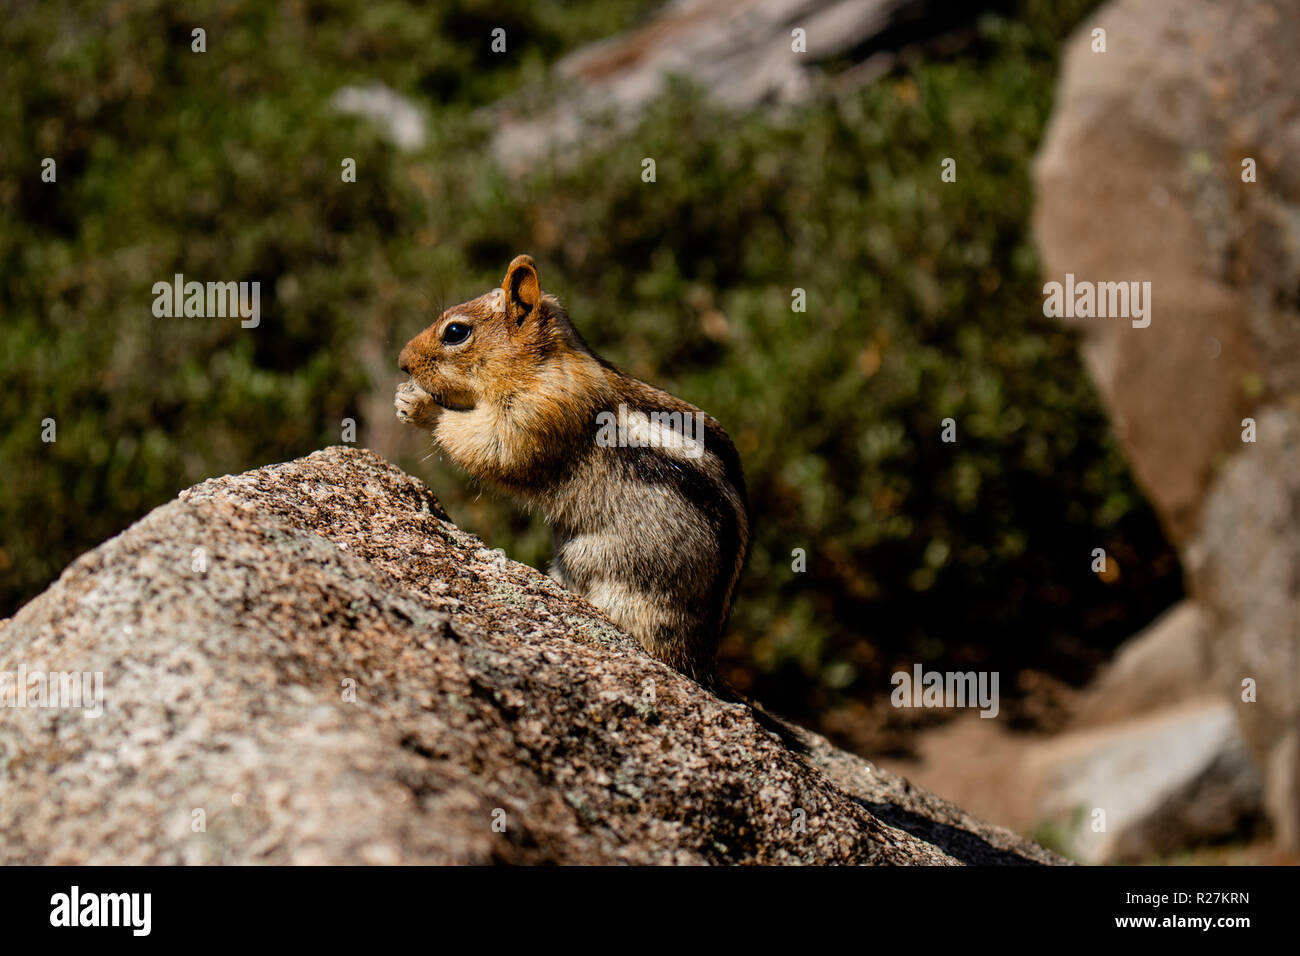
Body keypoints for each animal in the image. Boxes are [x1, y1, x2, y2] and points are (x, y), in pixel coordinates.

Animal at [395, 255, 751, 689]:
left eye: (456, 332)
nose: (402, 362)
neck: (542, 365)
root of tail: (700, 656)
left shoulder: (541, 413)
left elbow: (494, 448)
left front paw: (420, 406)